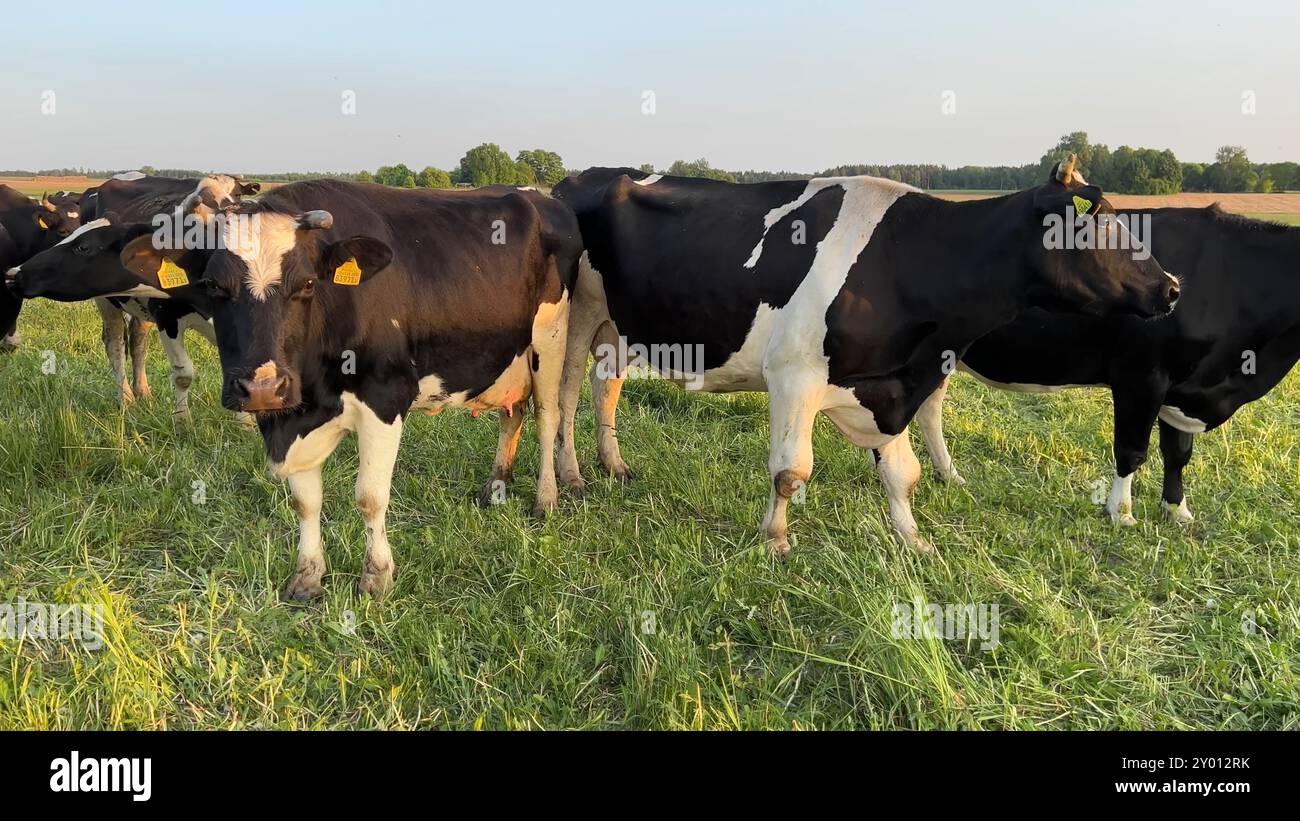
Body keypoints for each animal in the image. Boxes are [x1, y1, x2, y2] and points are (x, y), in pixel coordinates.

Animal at [113, 179, 582, 599]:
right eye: (211, 285)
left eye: (307, 284)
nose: (262, 387)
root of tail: (537, 197)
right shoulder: (289, 416)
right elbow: (305, 502)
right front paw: (307, 578)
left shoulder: (386, 397)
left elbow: (370, 497)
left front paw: (376, 577)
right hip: (508, 357)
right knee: (512, 413)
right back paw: (495, 486)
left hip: (550, 337)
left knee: (547, 416)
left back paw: (546, 499)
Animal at [551, 157, 1180, 556]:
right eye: (1098, 224)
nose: (1172, 287)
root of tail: (582, 176)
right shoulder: (794, 373)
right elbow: (790, 470)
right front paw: (775, 541)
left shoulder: (892, 384)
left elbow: (905, 473)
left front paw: (914, 540)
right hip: (578, 315)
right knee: (567, 392)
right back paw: (574, 475)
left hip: (620, 324)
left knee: (607, 385)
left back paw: (615, 465)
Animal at [912, 199, 1300, 527]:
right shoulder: (1142, 375)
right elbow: (1132, 451)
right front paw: (1121, 513)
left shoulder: (1181, 386)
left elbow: (1178, 454)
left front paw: (1177, 511)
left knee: (929, 411)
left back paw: (949, 475)